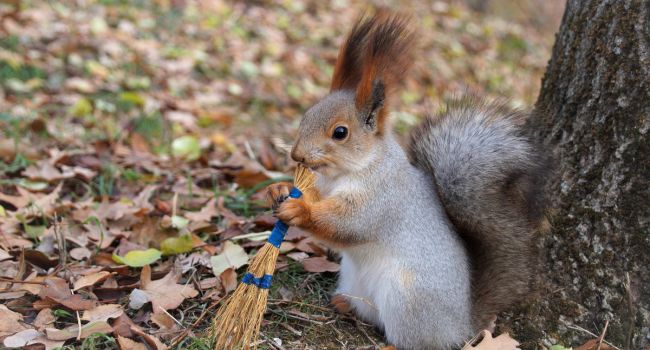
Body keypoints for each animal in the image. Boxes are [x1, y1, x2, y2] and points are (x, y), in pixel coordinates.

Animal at [268, 11, 548, 350]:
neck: (350, 171)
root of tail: (461, 326)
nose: (296, 155)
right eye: (306, 115)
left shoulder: (382, 199)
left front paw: (300, 210)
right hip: (355, 281)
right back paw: (343, 303)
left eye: (340, 132)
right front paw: (280, 189)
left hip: (406, 299)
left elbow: (346, 224)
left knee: (411, 339)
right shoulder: (325, 187)